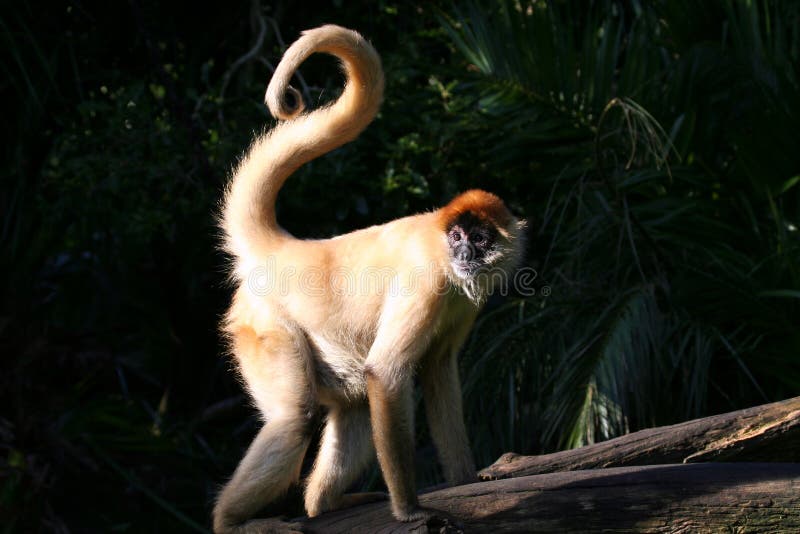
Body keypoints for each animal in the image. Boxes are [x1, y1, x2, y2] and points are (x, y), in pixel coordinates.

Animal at [213, 24, 525, 533]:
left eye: (479, 239)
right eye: (457, 235)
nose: (463, 252)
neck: (439, 249)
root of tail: (289, 249)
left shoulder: (465, 299)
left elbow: (438, 371)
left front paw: (466, 479)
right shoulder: (426, 282)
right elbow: (386, 373)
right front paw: (409, 509)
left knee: (355, 404)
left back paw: (326, 504)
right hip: (264, 326)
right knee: (296, 417)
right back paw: (230, 521)